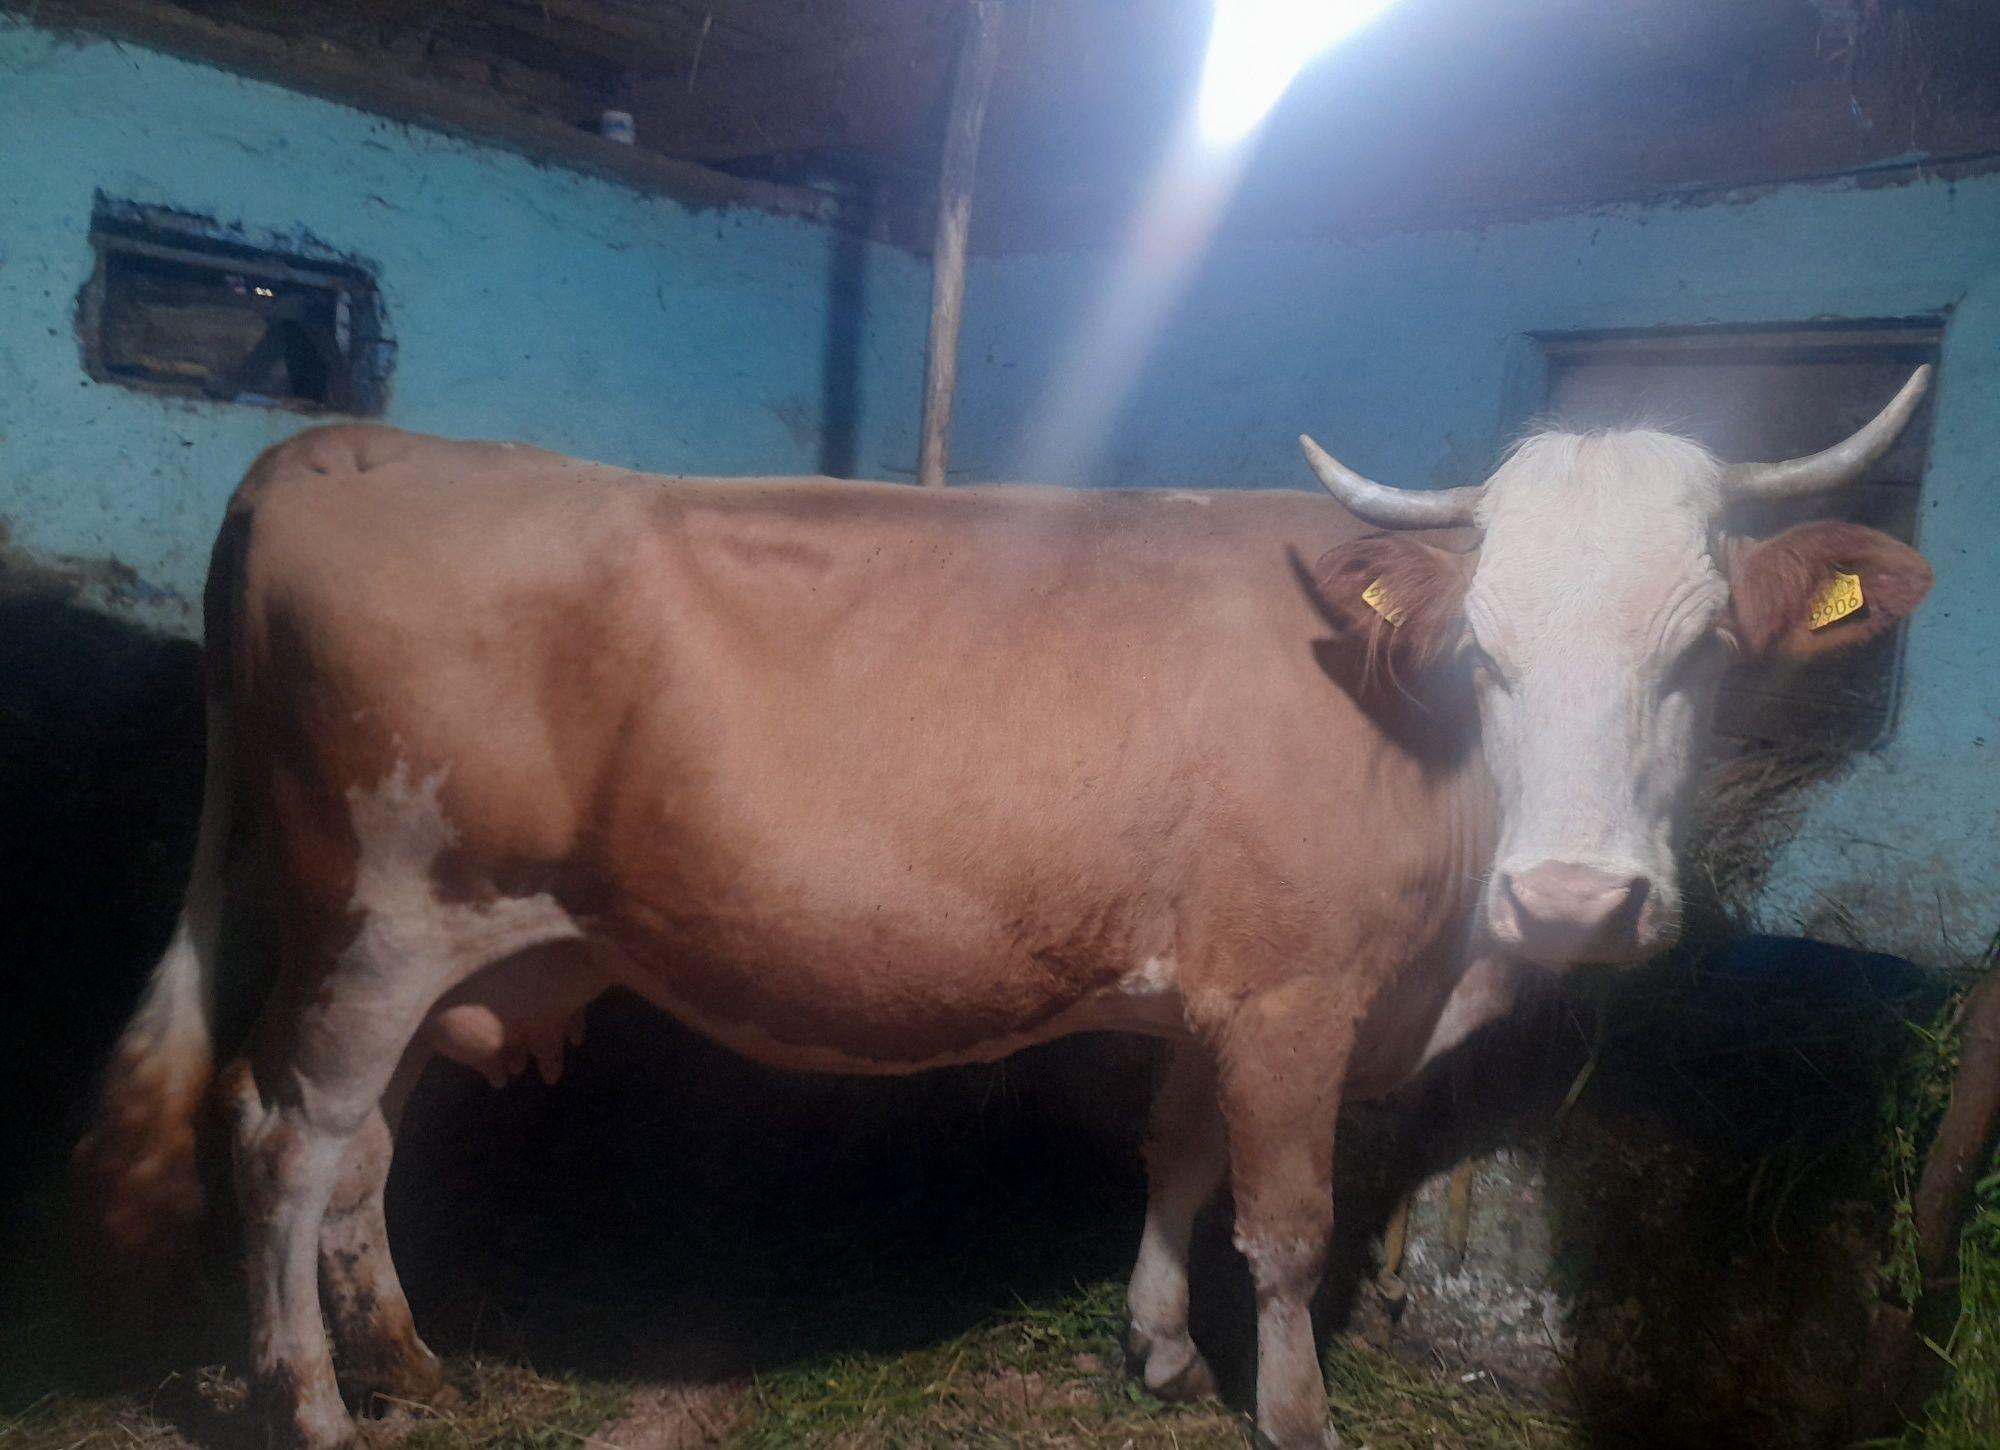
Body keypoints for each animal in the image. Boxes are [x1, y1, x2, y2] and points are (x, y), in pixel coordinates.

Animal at [77, 369, 1934, 1449]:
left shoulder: (1214, 985)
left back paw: (407, 1362)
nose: (1573, 897)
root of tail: (344, 444)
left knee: (359, 1143)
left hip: (447, 941)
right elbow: (1288, 1222)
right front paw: (1297, 1412)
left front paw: (1164, 1352)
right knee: (286, 1135)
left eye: (1703, 651)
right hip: (379, 911)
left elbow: (1179, 1163)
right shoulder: (1300, 994)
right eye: (1485, 655)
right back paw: (313, 1403)